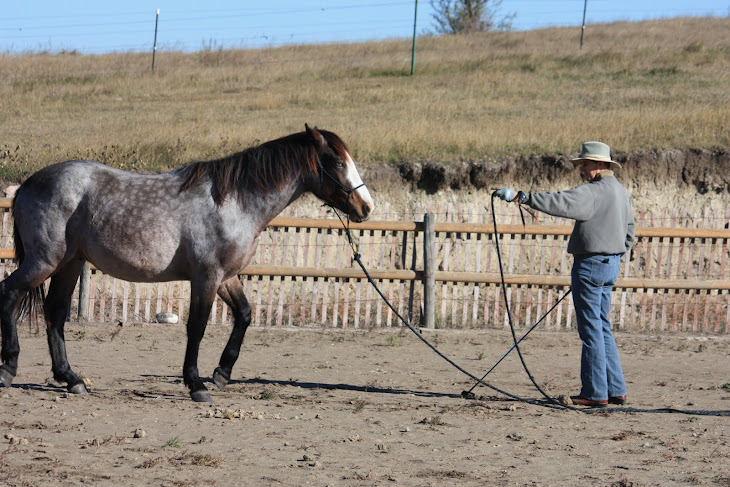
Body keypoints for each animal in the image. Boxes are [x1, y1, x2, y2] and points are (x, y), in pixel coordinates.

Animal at [0, 126, 372, 404]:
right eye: (336, 162)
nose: (366, 207)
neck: (233, 202)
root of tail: (27, 184)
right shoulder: (206, 276)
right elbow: (197, 327)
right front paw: (197, 385)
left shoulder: (226, 277)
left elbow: (244, 314)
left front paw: (221, 374)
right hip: (44, 261)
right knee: (9, 294)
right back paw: (9, 368)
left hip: (70, 263)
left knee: (55, 312)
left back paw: (71, 378)